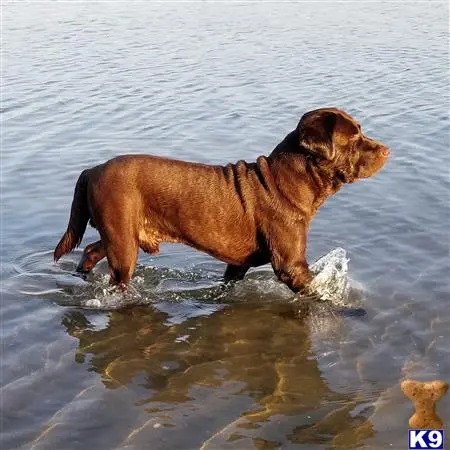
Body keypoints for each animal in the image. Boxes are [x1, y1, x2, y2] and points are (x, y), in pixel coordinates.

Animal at [54, 107, 388, 294]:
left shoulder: (238, 266)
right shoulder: (291, 265)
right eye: (354, 138)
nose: (386, 149)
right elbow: (322, 296)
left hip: (121, 234)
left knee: (92, 250)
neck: (288, 181)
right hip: (123, 239)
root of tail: (92, 169)